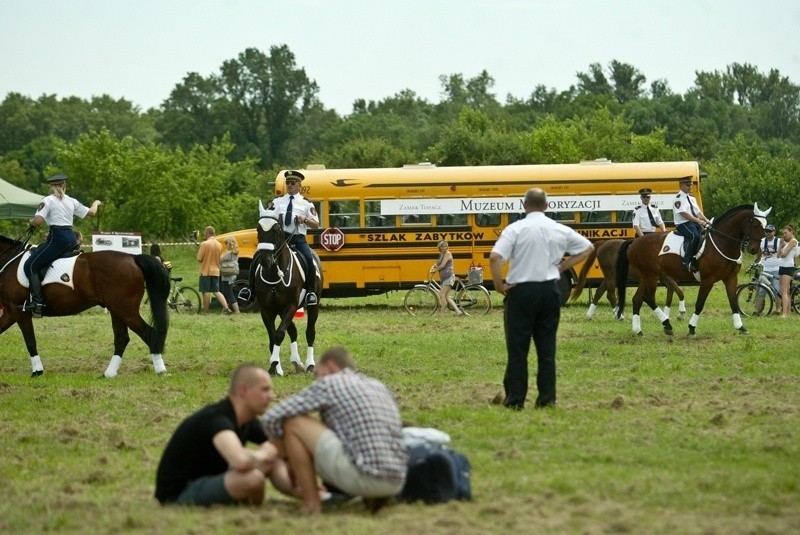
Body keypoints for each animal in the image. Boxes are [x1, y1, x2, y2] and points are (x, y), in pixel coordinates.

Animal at [0, 233, 169, 376]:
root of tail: (133, 257)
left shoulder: (19, 311)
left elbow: (30, 340)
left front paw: (37, 371)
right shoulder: (10, 312)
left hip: (126, 312)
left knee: (149, 333)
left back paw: (160, 370)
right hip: (116, 311)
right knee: (122, 338)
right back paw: (109, 374)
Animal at [253, 211, 322, 374]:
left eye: (276, 230)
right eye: (258, 229)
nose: (265, 260)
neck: (274, 273)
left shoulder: (290, 306)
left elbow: (279, 334)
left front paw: (274, 364)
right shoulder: (267, 310)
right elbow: (273, 337)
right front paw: (275, 367)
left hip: (313, 305)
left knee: (310, 332)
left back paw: (310, 365)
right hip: (281, 310)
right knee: (293, 331)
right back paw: (296, 361)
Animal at [612, 204, 768, 336]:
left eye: (765, 227)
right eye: (755, 224)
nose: (754, 249)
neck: (722, 242)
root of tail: (635, 241)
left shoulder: (730, 278)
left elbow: (733, 302)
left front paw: (741, 327)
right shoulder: (708, 279)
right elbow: (700, 303)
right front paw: (692, 327)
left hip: (645, 277)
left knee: (637, 299)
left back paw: (638, 330)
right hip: (651, 276)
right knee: (649, 298)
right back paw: (667, 325)